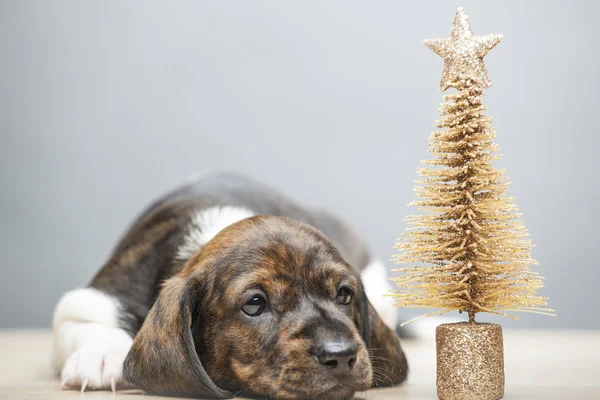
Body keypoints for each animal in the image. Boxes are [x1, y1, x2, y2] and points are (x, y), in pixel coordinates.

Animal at [51, 170, 408, 398]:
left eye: (344, 294)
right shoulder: (98, 294)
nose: (341, 355)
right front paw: (101, 354)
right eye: (255, 304)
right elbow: (86, 322)